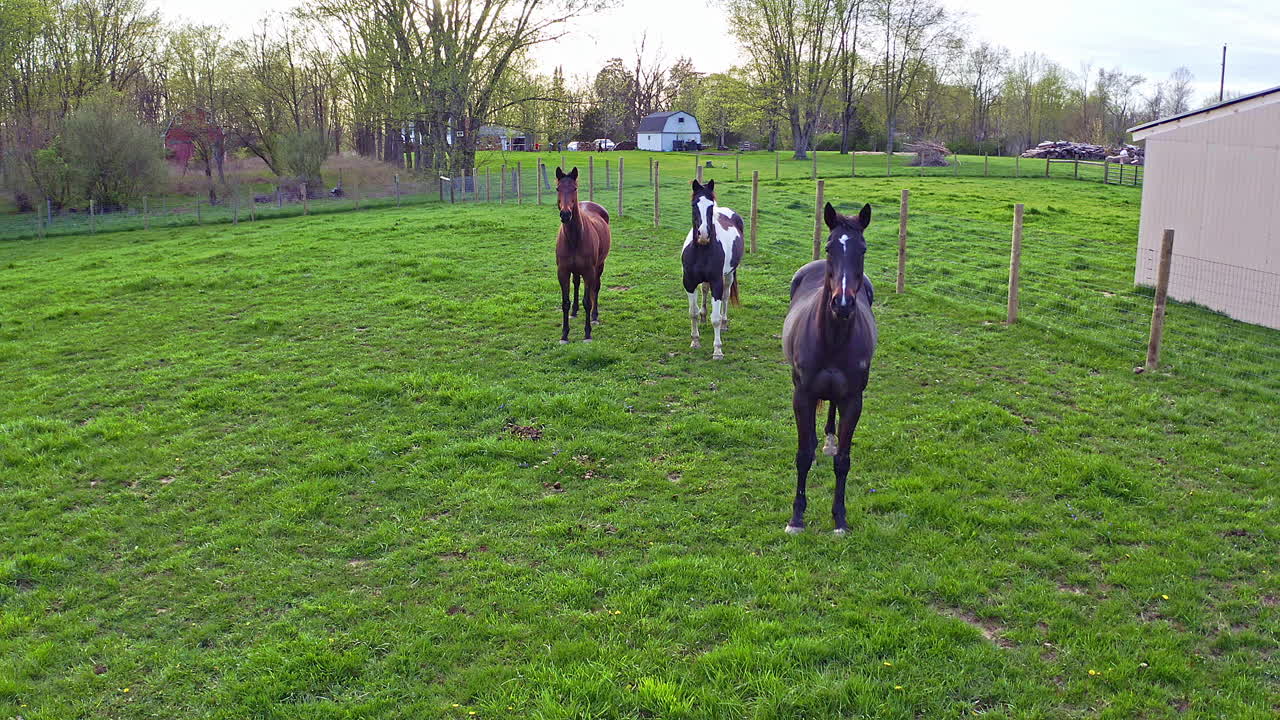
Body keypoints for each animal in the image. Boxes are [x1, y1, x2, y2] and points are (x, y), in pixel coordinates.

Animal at [554, 166, 611, 343]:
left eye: (574, 188)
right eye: (558, 188)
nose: (565, 214)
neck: (574, 238)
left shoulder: (588, 271)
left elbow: (587, 301)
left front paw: (587, 334)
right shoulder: (563, 271)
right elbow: (565, 302)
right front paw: (564, 335)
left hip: (599, 266)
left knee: (596, 288)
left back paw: (594, 316)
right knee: (576, 283)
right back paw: (574, 312)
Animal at [681, 179, 743, 359]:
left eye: (710, 206)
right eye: (694, 204)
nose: (703, 234)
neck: (702, 250)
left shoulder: (717, 282)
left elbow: (715, 317)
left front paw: (717, 350)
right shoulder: (689, 283)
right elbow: (692, 312)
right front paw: (695, 341)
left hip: (729, 275)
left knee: (726, 296)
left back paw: (724, 323)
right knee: (704, 290)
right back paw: (703, 317)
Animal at [781, 201, 877, 535]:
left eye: (863, 249)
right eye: (830, 246)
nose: (843, 303)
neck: (832, 339)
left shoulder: (854, 400)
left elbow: (843, 462)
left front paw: (840, 520)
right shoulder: (802, 396)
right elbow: (802, 455)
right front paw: (796, 518)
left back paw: (829, 442)